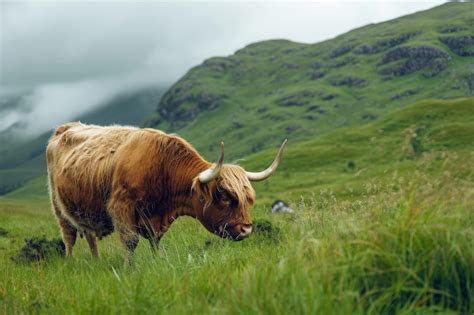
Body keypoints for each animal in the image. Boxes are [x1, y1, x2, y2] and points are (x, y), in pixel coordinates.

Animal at [47, 122, 286, 262]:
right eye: (226, 197)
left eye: (249, 199)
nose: (246, 229)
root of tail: (65, 127)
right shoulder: (121, 206)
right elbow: (130, 241)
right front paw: (128, 268)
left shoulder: (155, 219)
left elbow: (155, 241)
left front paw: (157, 261)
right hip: (59, 207)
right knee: (69, 237)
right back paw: (71, 262)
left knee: (89, 236)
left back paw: (96, 261)